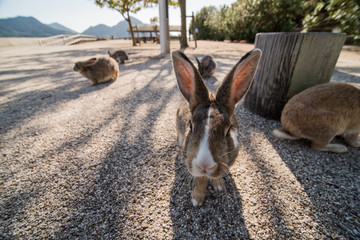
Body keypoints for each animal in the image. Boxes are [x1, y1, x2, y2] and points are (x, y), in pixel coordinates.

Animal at [172, 48, 262, 206]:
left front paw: (219, 187)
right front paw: (196, 200)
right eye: (191, 125)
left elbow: (215, 177)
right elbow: (200, 180)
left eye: (227, 130)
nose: (204, 165)